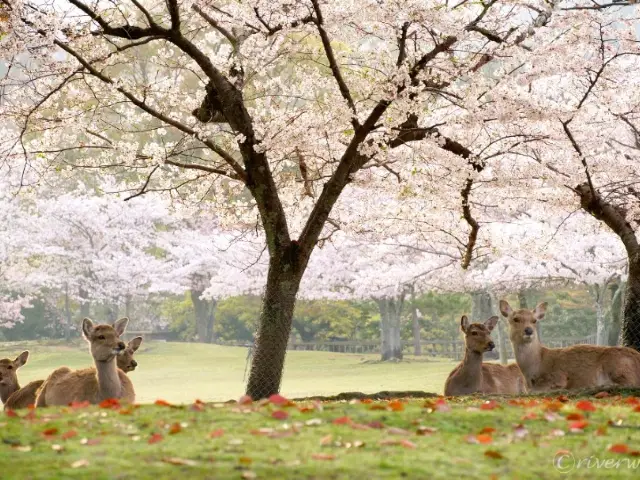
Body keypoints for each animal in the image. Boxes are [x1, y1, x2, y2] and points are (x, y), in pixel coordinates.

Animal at [500, 299, 640, 391]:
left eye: (534, 320)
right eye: (515, 319)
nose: (529, 330)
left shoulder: (558, 376)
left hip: (619, 364)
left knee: (630, 383)